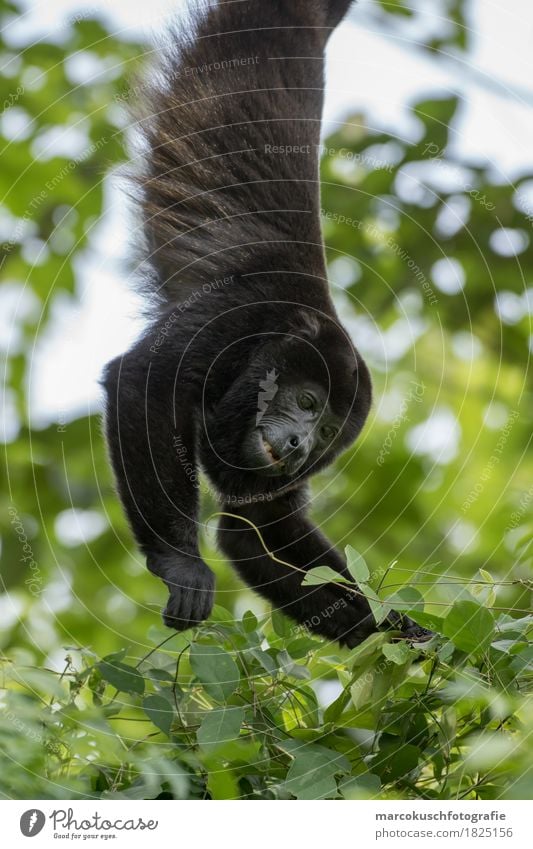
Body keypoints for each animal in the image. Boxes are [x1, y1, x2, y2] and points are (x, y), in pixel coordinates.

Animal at [102, 0, 430, 644]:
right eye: (306, 402)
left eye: (327, 433)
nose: (302, 444)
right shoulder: (235, 320)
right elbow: (140, 382)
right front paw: (181, 562)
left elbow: (256, 528)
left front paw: (412, 636)